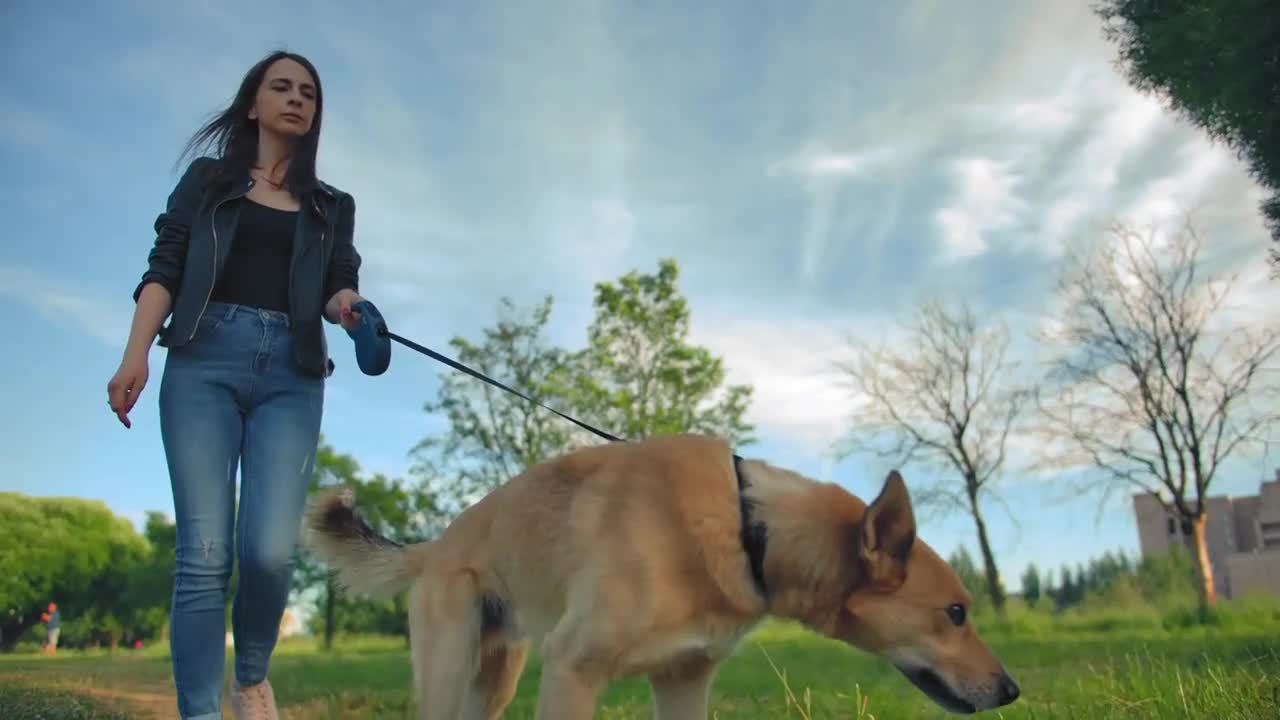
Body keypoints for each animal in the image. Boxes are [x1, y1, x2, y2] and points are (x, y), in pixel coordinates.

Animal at [302, 427, 1018, 712]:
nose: (1012, 690)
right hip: (451, 666)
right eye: (956, 613)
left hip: (496, 674)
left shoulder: (683, 682)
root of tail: (437, 543)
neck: (745, 529)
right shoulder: (573, 670)